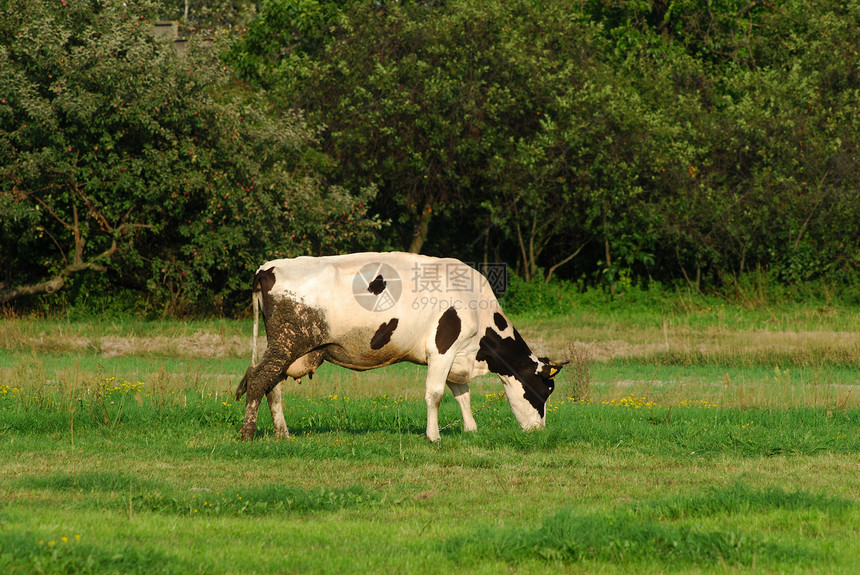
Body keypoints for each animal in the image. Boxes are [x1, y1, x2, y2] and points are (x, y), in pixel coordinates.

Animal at [235, 252, 568, 440]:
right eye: (545, 389)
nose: (539, 432)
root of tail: (267, 267)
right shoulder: (443, 349)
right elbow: (435, 394)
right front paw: (433, 437)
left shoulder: (458, 356)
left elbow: (462, 395)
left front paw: (471, 430)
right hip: (287, 342)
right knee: (258, 379)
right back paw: (247, 433)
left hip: (287, 348)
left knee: (272, 385)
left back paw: (282, 434)